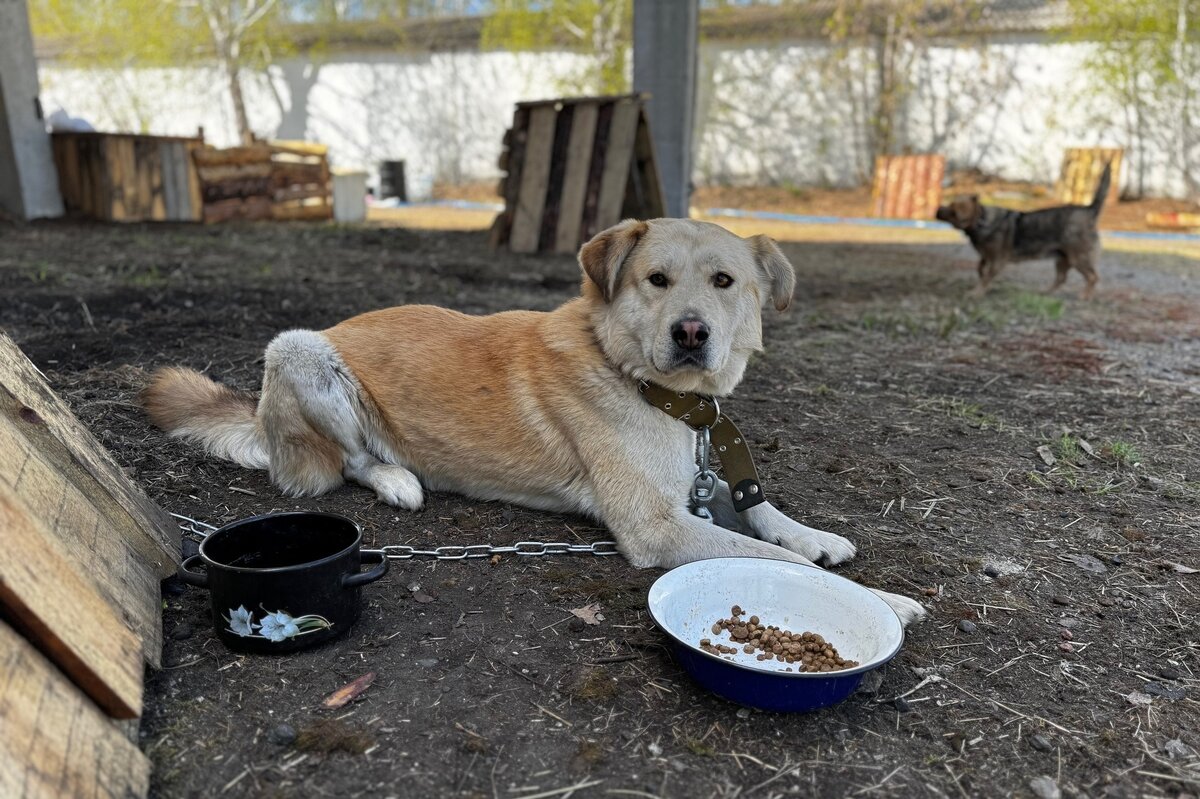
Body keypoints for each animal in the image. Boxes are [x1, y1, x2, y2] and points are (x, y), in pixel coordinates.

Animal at [142, 215, 926, 623]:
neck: (654, 390)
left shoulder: (708, 480)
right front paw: (881, 600)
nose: (692, 332)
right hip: (300, 350)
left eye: (725, 282)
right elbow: (769, 559)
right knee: (349, 462)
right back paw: (397, 478)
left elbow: (766, 515)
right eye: (657, 280)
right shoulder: (658, 524)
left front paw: (816, 538)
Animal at [931, 163, 1108, 298]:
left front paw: (977, 292)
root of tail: (1089, 209)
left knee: (1093, 277)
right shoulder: (987, 257)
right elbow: (980, 268)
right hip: (1062, 259)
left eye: (953, 210)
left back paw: (1085, 296)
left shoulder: (998, 260)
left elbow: (986, 276)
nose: (937, 209)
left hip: (1079, 258)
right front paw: (981, 282)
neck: (981, 221)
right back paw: (1046, 292)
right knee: (1061, 278)